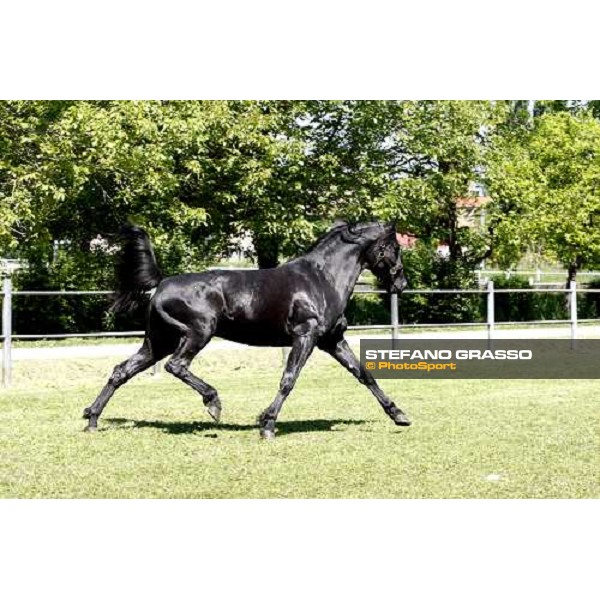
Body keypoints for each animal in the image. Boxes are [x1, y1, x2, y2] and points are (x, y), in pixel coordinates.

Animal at [83, 223, 412, 438]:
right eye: (395, 247)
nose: (401, 283)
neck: (321, 279)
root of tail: (160, 284)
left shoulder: (333, 340)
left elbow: (364, 374)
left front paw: (399, 415)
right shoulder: (305, 337)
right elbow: (288, 380)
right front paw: (267, 425)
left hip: (157, 343)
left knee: (121, 371)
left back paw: (91, 419)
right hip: (196, 334)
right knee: (176, 366)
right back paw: (213, 403)